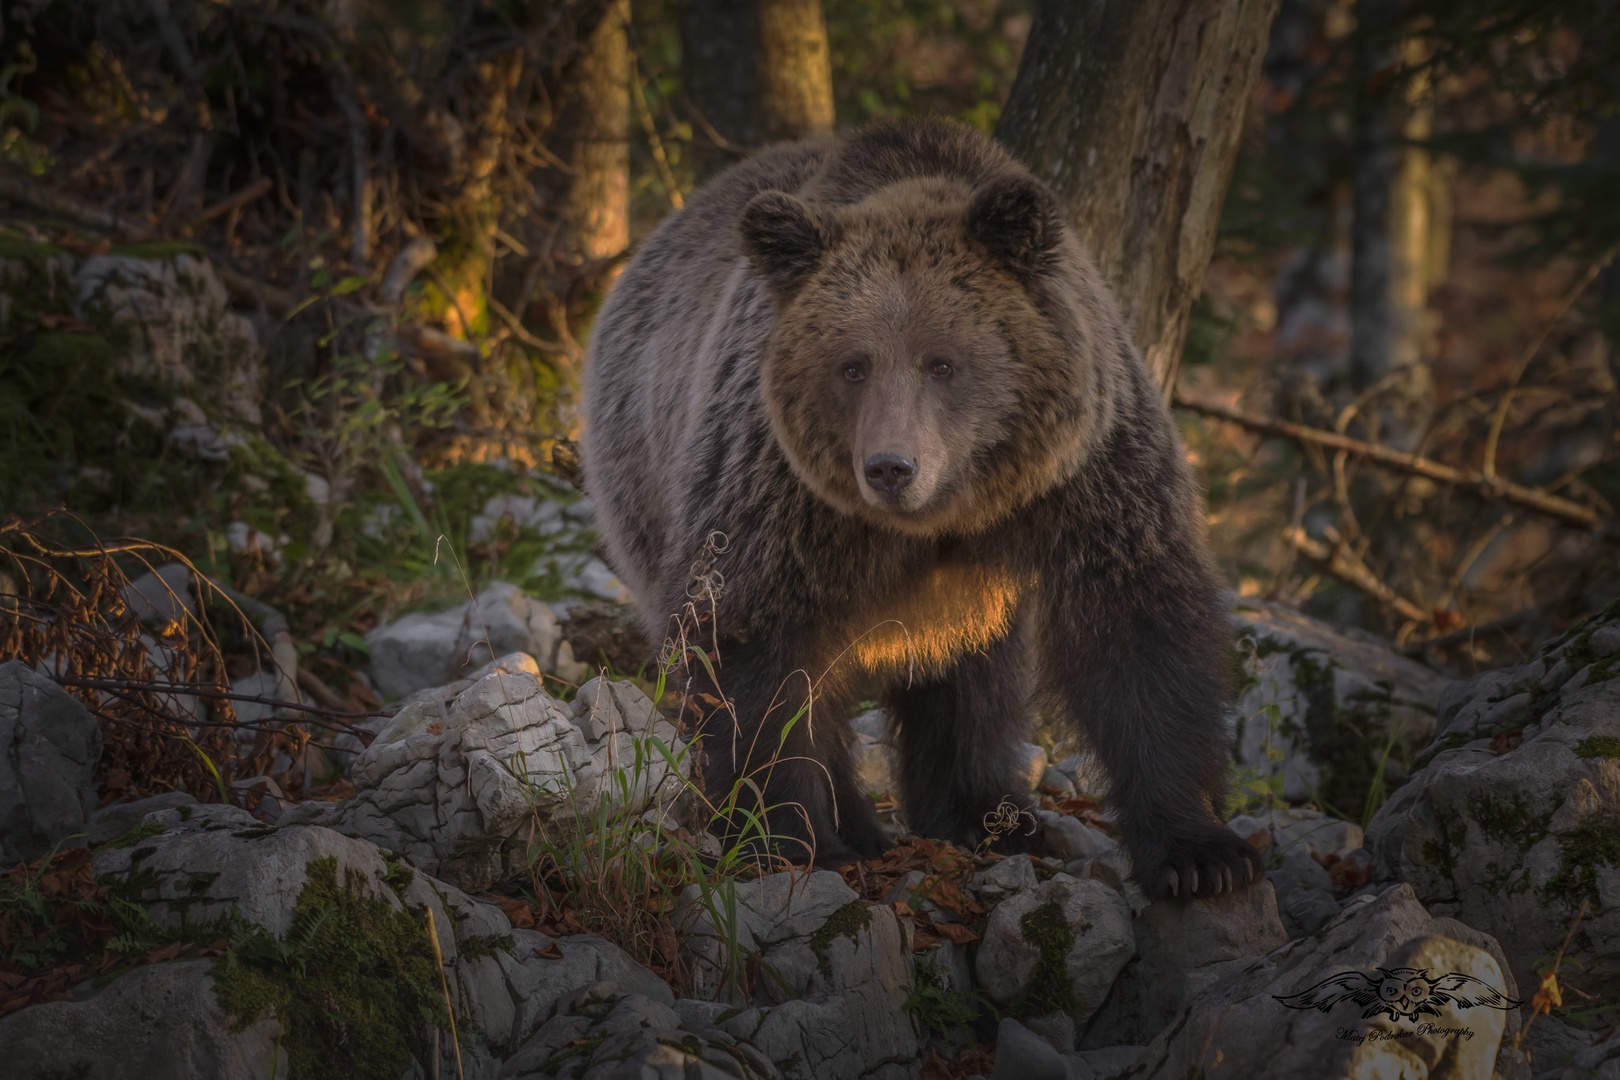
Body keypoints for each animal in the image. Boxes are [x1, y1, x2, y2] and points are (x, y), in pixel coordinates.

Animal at [580, 119, 1261, 898]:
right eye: (852, 365)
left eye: (943, 363)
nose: (890, 467)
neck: (945, 516)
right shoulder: (779, 493)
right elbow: (751, 642)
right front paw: (786, 839)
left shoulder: (1084, 477)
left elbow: (1140, 628)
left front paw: (1201, 853)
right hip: (641, 481)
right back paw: (862, 826)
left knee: (971, 684)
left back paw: (985, 815)